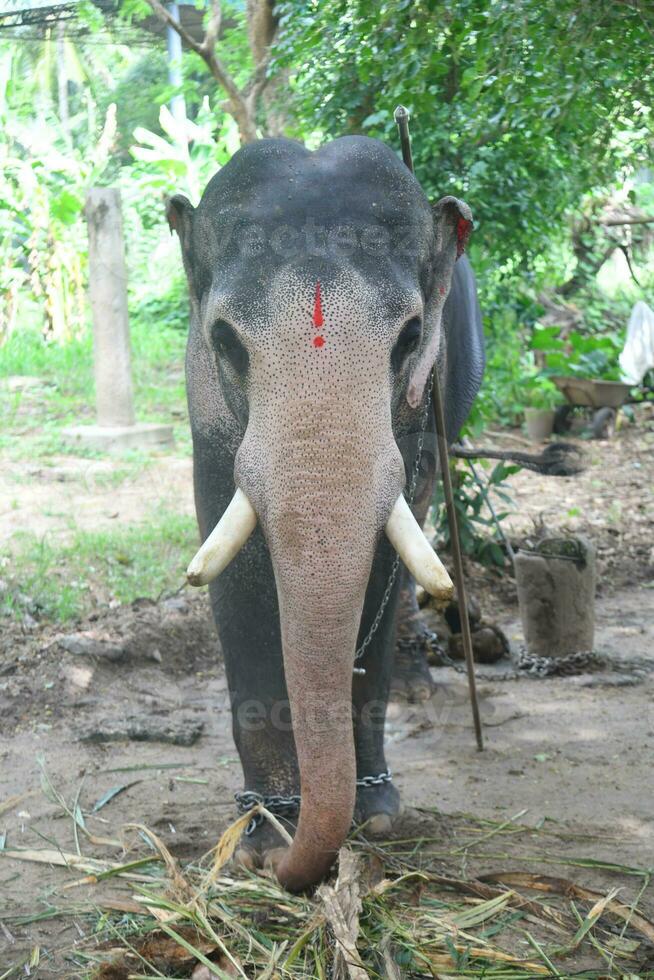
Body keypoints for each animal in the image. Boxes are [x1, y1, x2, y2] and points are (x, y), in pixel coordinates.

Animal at [168, 134, 486, 892]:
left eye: (410, 337)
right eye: (224, 340)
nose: (292, 867)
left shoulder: (418, 425)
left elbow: (385, 570)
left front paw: (377, 819)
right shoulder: (206, 414)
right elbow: (229, 568)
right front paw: (258, 842)